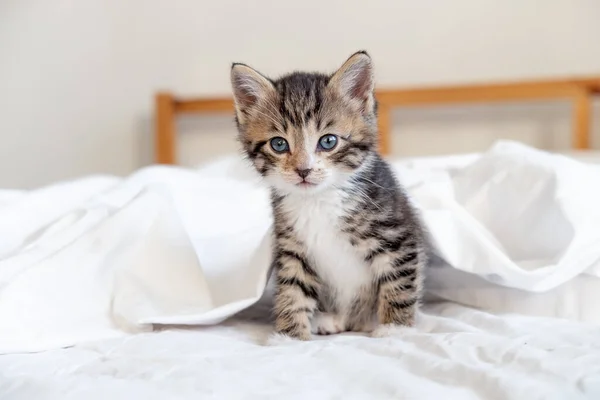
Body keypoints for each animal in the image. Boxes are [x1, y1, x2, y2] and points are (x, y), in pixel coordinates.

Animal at [230, 48, 426, 340]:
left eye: (328, 141)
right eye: (279, 144)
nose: (303, 170)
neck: (319, 200)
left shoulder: (396, 234)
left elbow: (398, 282)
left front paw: (394, 329)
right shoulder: (293, 245)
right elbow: (293, 288)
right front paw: (289, 337)